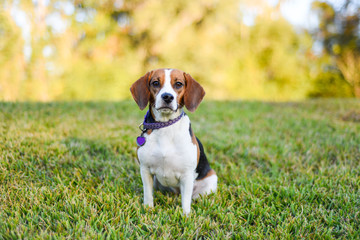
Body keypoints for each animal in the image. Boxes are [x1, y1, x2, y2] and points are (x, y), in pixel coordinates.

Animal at [131, 68, 218, 215]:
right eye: (155, 83)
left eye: (178, 84)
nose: (167, 97)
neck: (166, 126)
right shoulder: (145, 170)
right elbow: (148, 194)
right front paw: (148, 209)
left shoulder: (187, 175)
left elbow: (186, 201)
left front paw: (186, 216)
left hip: (210, 180)